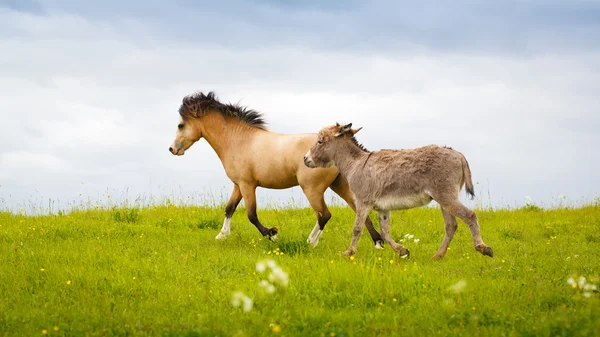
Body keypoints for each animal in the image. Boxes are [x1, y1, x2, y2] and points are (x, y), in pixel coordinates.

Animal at [169, 90, 384, 248]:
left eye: (180, 125)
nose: (172, 149)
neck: (238, 140)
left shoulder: (248, 185)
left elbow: (251, 214)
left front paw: (272, 234)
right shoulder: (238, 185)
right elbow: (229, 208)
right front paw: (222, 235)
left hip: (312, 189)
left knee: (324, 215)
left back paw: (311, 242)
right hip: (339, 184)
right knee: (359, 211)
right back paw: (379, 242)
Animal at [302, 122, 494, 258]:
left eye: (320, 141)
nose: (305, 159)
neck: (355, 163)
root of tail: (459, 155)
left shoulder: (363, 202)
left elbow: (357, 228)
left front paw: (348, 253)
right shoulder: (382, 208)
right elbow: (385, 232)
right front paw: (402, 251)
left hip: (446, 196)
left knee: (469, 216)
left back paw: (482, 248)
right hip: (443, 199)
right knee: (451, 225)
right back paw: (438, 256)